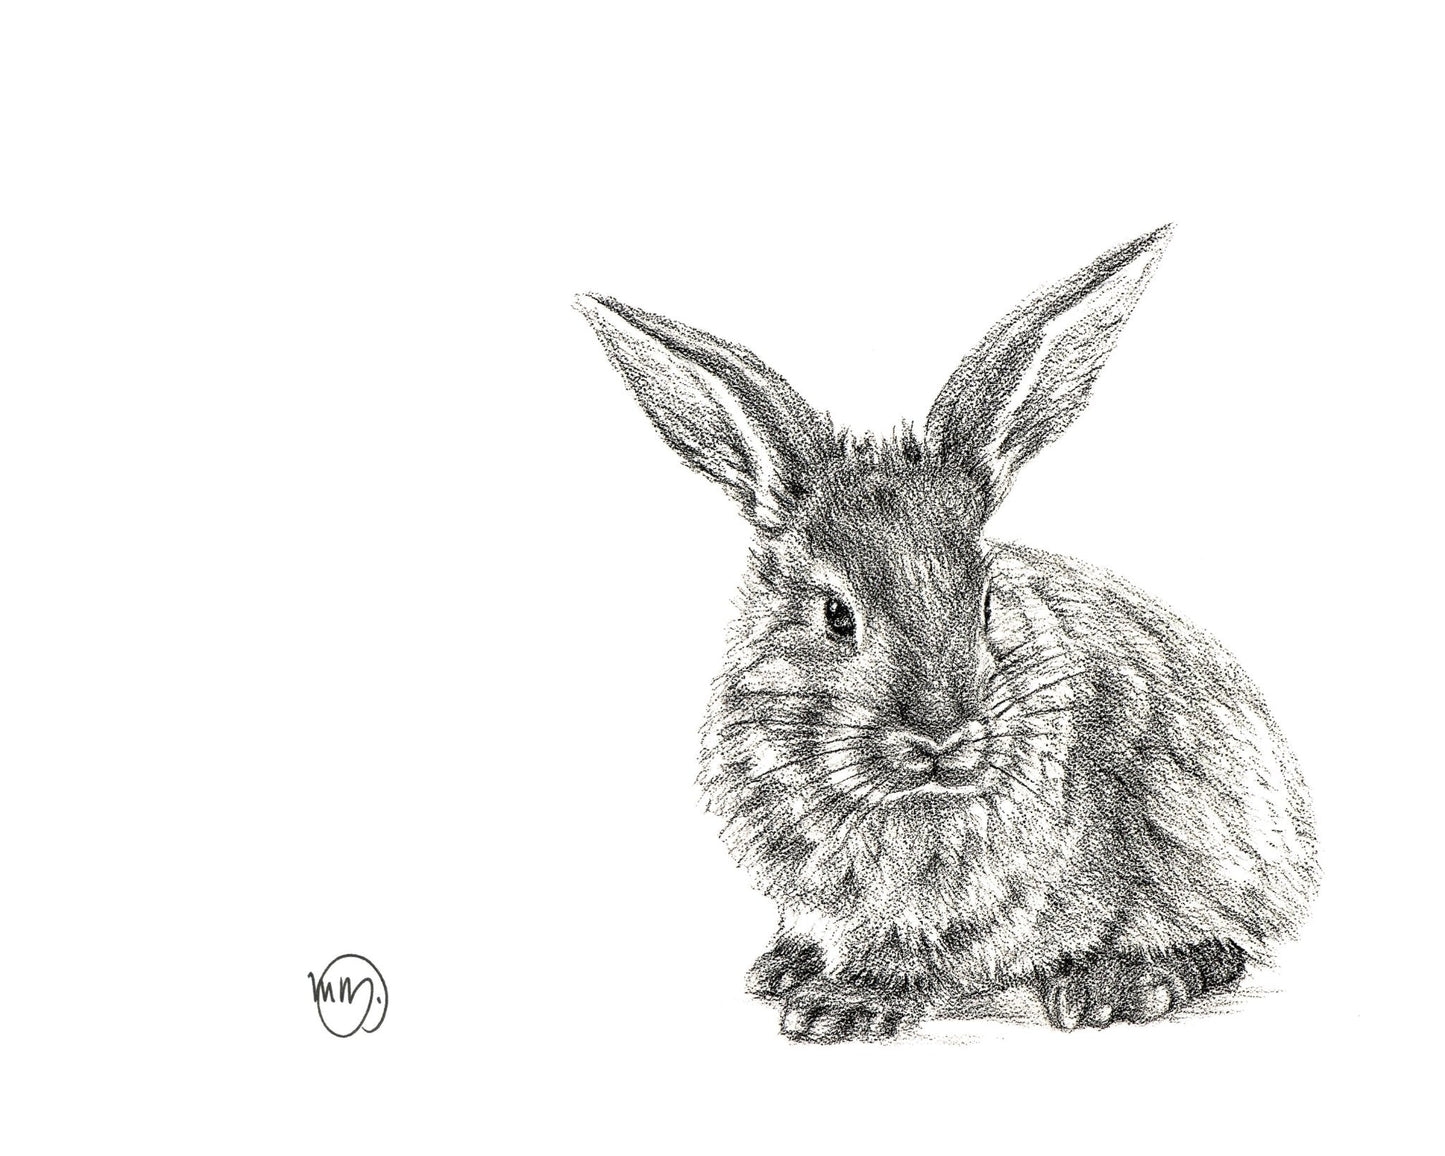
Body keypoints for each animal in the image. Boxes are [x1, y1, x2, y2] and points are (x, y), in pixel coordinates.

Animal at [575, 226, 1317, 1043]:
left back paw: (1114, 986)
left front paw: (840, 1006)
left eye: (986, 601)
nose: (940, 736)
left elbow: (916, 949)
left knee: (1219, 945)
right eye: (835, 615)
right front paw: (787, 972)